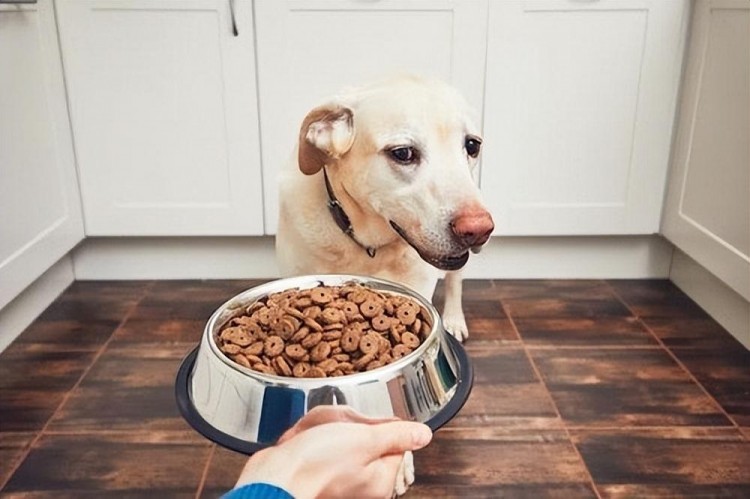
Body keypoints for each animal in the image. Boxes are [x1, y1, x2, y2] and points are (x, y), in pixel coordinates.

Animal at [276, 76, 494, 498]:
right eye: (403, 153)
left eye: (471, 145)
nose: (479, 229)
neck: (365, 243)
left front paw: (397, 464)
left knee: (456, 282)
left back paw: (455, 318)